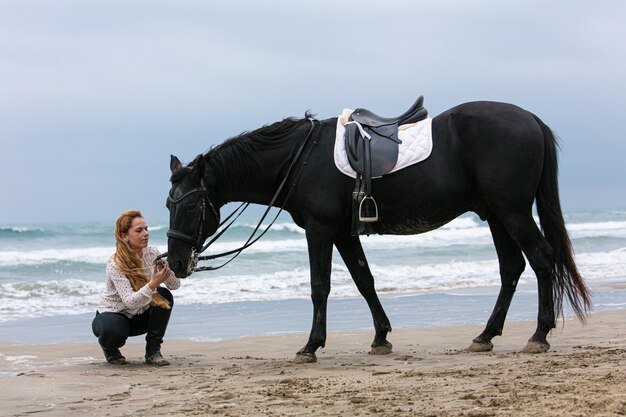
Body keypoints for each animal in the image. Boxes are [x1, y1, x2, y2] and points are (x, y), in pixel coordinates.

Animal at [163, 100, 588, 360]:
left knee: (542, 259)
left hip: (511, 211)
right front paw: (381, 337)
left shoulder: (320, 230)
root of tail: (530, 118)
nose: (178, 263)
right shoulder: (343, 233)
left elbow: (320, 287)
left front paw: (311, 346)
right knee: (512, 268)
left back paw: (539, 335)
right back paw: (486, 336)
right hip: (496, 214)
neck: (301, 158)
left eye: (192, 205)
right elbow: (364, 281)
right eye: (169, 204)